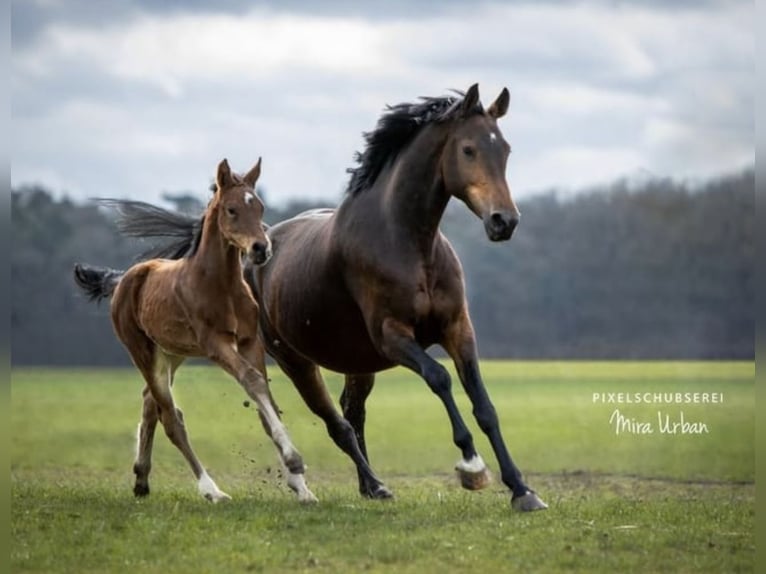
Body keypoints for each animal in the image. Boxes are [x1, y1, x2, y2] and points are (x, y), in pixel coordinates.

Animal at [74, 161, 318, 504]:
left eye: (259, 206)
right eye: (231, 209)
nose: (261, 249)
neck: (221, 285)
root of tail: (124, 279)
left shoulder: (249, 342)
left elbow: (264, 399)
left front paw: (301, 486)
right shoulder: (216, 344)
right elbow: (253, 382)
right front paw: (295, 462)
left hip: (172, 353)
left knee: (150, 402)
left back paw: (141, 479)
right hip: (142, 352)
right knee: (170, 417)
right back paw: (211, 489)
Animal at [109, 85, 552, 512]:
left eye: (505, 149)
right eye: (468, 149)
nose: (504, 221)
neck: (408, 243)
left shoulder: (457, 328)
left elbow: (484, 406)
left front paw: (522, 490)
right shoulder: (392, 337)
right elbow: (439, 379)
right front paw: (472, 468)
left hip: (356, 362)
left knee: (350, 413)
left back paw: (369, 486)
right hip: (295, 361)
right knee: (336, 422)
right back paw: (369, 484)